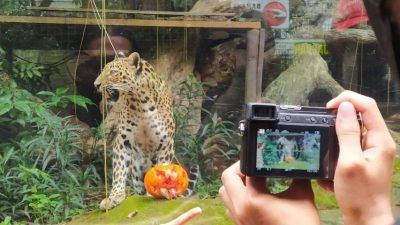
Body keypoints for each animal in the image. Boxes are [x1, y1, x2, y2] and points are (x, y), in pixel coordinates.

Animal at [94, 52, 180, 209]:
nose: (95, 84)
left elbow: (161, 167)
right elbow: (119, 171)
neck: (140, 101)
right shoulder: (122, 141)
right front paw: (114, 197)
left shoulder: (166, 142)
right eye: (103, 70)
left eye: (113, 72)